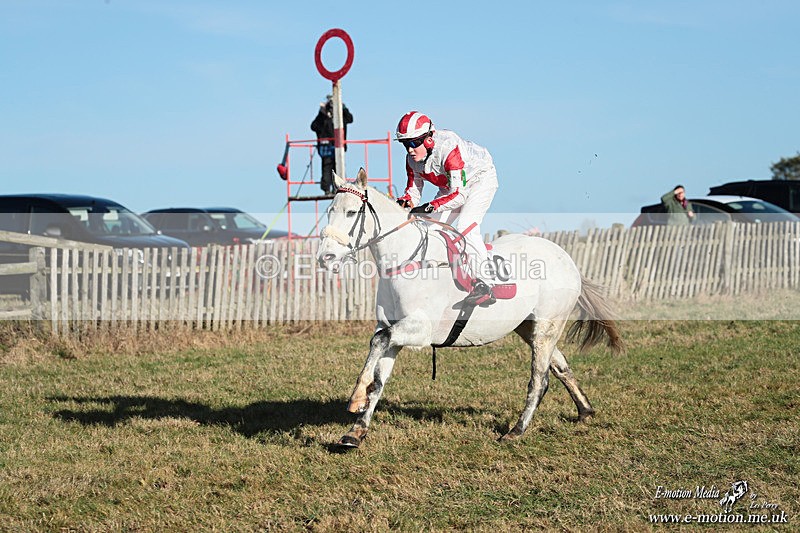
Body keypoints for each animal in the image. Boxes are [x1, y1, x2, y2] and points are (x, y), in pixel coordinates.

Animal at [317, 168, 623, 448]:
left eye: (351, 212)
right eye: (330, 210)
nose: (325, 257)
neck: (406, 261)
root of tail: (566, 258)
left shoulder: (420, 330)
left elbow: (378, 343)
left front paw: (356, 398)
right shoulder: (394, 328)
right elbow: (379, 375)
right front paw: (355, 431)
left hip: (548, 326)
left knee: (540, 379)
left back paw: (516, 430)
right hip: (529, 327)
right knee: (560, 366)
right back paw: (585, 411)